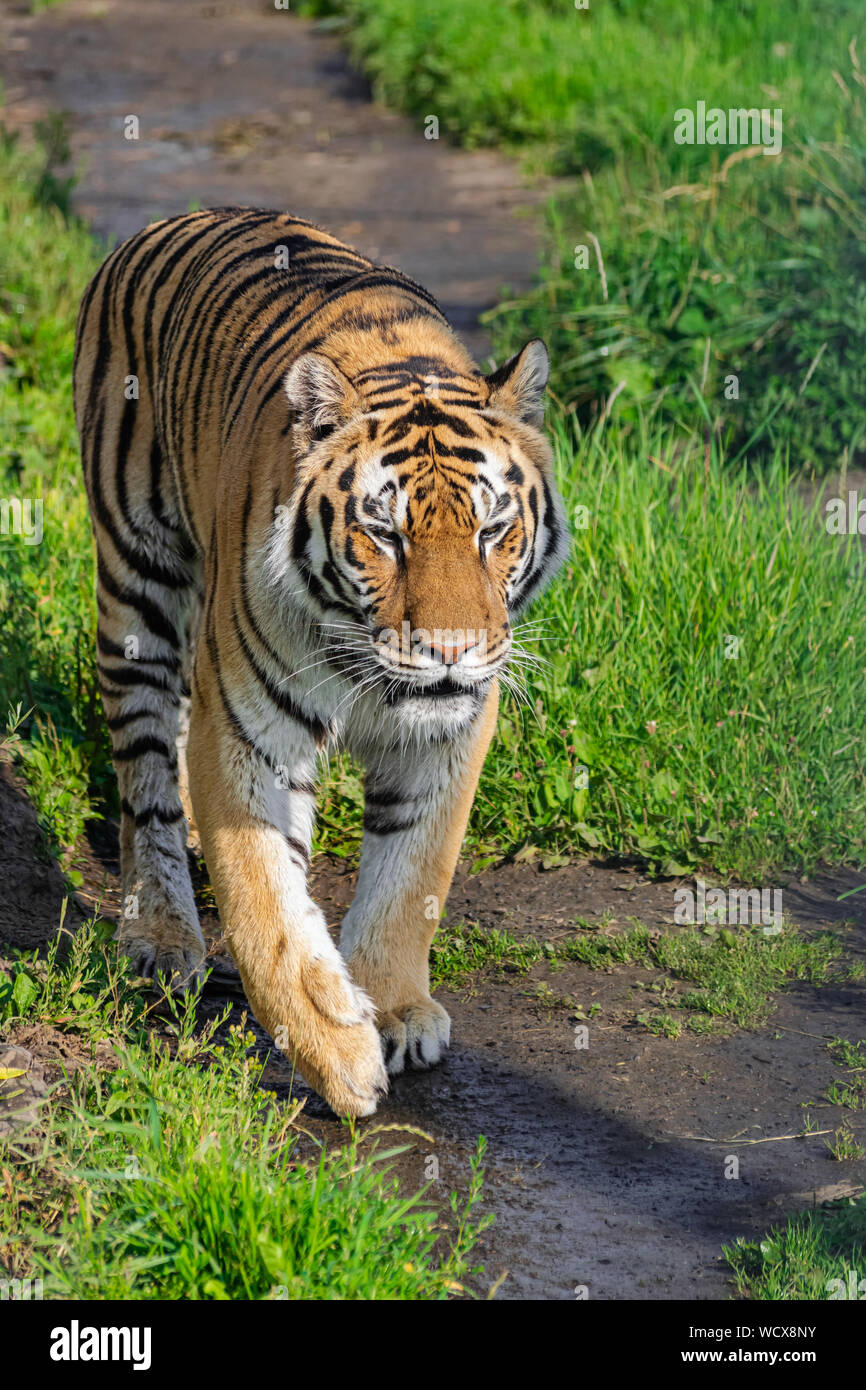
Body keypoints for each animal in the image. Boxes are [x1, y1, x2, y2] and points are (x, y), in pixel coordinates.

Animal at [73, 207, 568, 1116]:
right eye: (384, 533)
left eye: (492, 529)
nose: (450, 652)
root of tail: (166, 221)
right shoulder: (249, 733)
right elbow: (266, 903)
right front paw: (337, 1052)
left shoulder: (448, 733)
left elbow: (412, 876)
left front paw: (396, 1009)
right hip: (136, 580)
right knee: (146, 767)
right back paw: (159, 931)